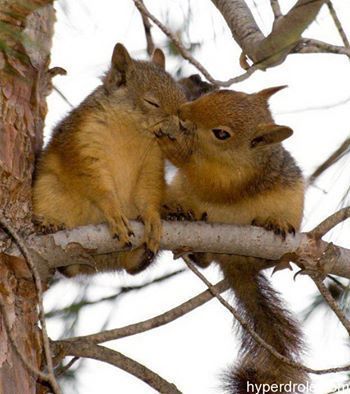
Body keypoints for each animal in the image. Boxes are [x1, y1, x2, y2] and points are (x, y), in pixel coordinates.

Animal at [32, 43, 189, 276]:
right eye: (152, 102)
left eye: (181, 95)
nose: (182, 125)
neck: (132, 131)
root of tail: (101, 263)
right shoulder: (83, 142)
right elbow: (96, 183)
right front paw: (114, 212)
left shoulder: (152, 160)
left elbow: (149, 189)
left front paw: (152, 217)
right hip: (48, 189)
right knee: (68, 269)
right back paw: (48, 224)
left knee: (131, 267)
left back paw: (148, 246)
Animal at [156, 87, 306, 394]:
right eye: (216, 93)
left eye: (222, 134)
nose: (183, 111)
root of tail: (234, 262)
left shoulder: (235, 178)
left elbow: (211, 181)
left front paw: (171, 145)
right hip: (179, 192)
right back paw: (186, 228)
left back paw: (272, 224)